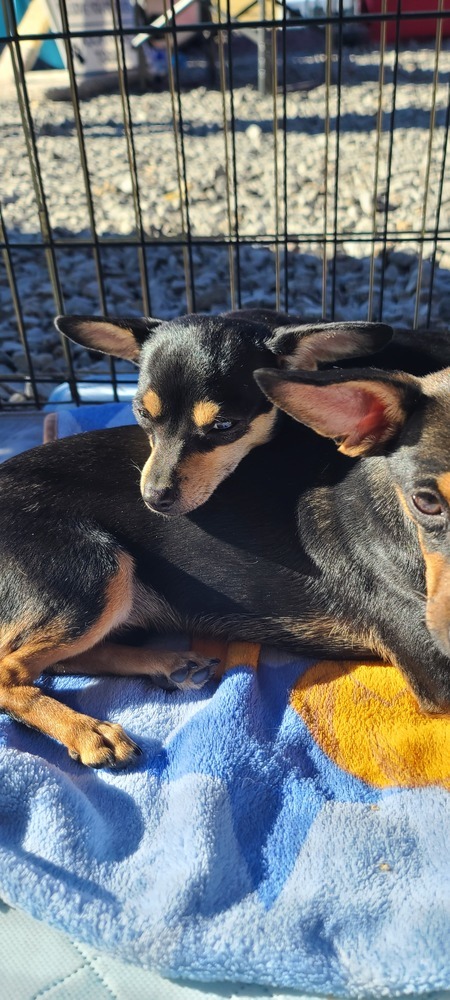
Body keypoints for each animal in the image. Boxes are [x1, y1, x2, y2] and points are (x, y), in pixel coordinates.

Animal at [0, 312, 446, 764]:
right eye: (141, 414)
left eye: (224, 426)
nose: (155, 497)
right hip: (99, 573)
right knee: (12, 671)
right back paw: (89, 732)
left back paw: (168, 664)